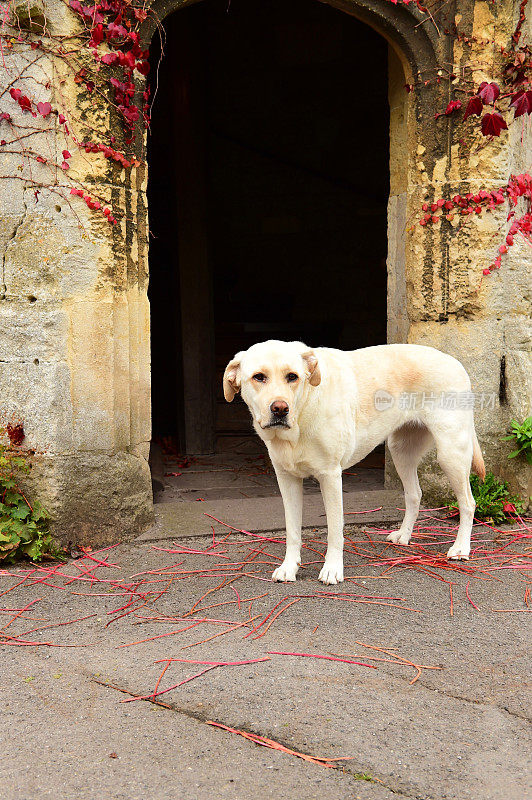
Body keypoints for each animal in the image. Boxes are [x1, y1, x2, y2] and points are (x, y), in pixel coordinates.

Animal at [222, 340, 484, 584]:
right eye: (259, 377)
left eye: (292, 377)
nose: (280, 409)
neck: (303, 412)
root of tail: (455, 362)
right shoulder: (287, 479)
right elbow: (292, 530)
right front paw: (289, 568)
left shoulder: (330, 476)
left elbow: (334, 530)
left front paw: (332, 569)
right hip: (401, 452)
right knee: (414, 494)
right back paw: (404, 535)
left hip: (451, 454)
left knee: (468, 502)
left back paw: (461, 548)